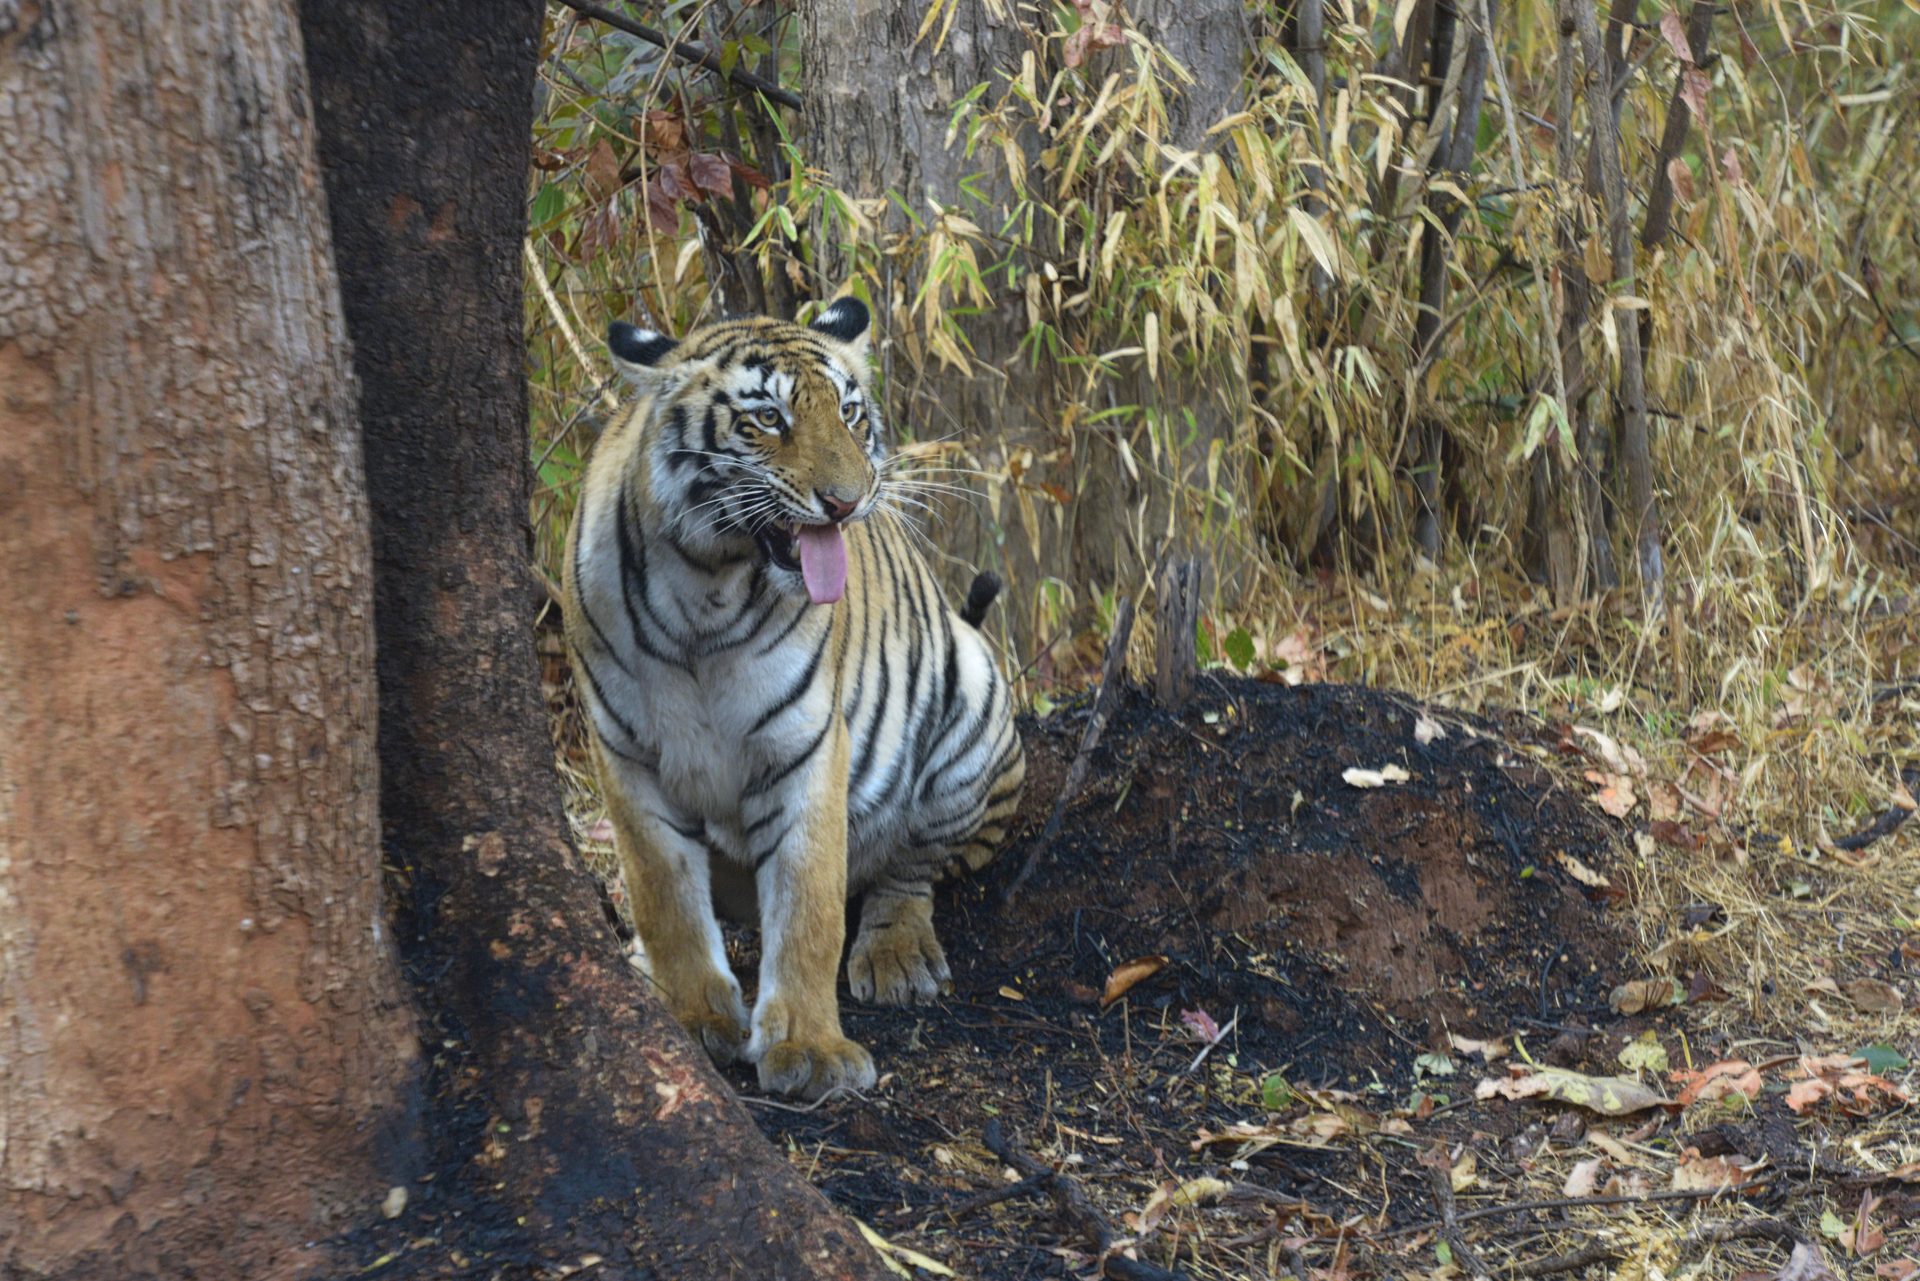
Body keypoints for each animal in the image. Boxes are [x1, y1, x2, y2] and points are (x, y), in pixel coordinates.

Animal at [561, 298, 1026, 1101]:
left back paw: (900, 958)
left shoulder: (805, 746)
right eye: (768, 418)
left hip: (971, 700)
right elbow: (664, 895)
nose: (848, 500)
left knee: (912, 870)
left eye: (850, 412)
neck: (705, 590)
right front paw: (690, 1017)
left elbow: (809, 904)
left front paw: (811, 1050)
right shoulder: (625, 752)